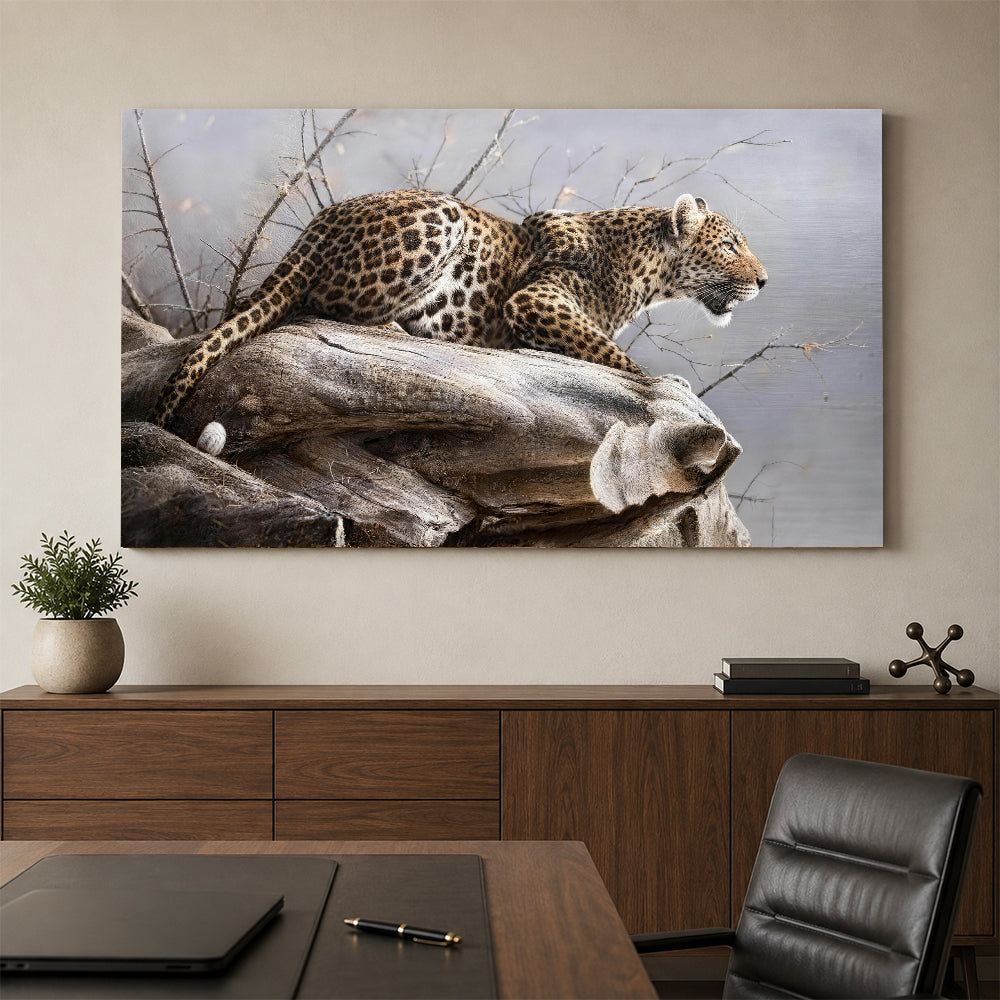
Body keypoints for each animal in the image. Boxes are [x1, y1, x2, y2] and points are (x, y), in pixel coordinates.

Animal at [149, 189, 766, 432]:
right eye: (731, 244)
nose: (763, 280)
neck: (647, 271)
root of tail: (319, 223)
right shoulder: (537, 298)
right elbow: (610, 353)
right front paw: (667, 389)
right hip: (442, 217)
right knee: (324, 305)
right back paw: (405, 329)